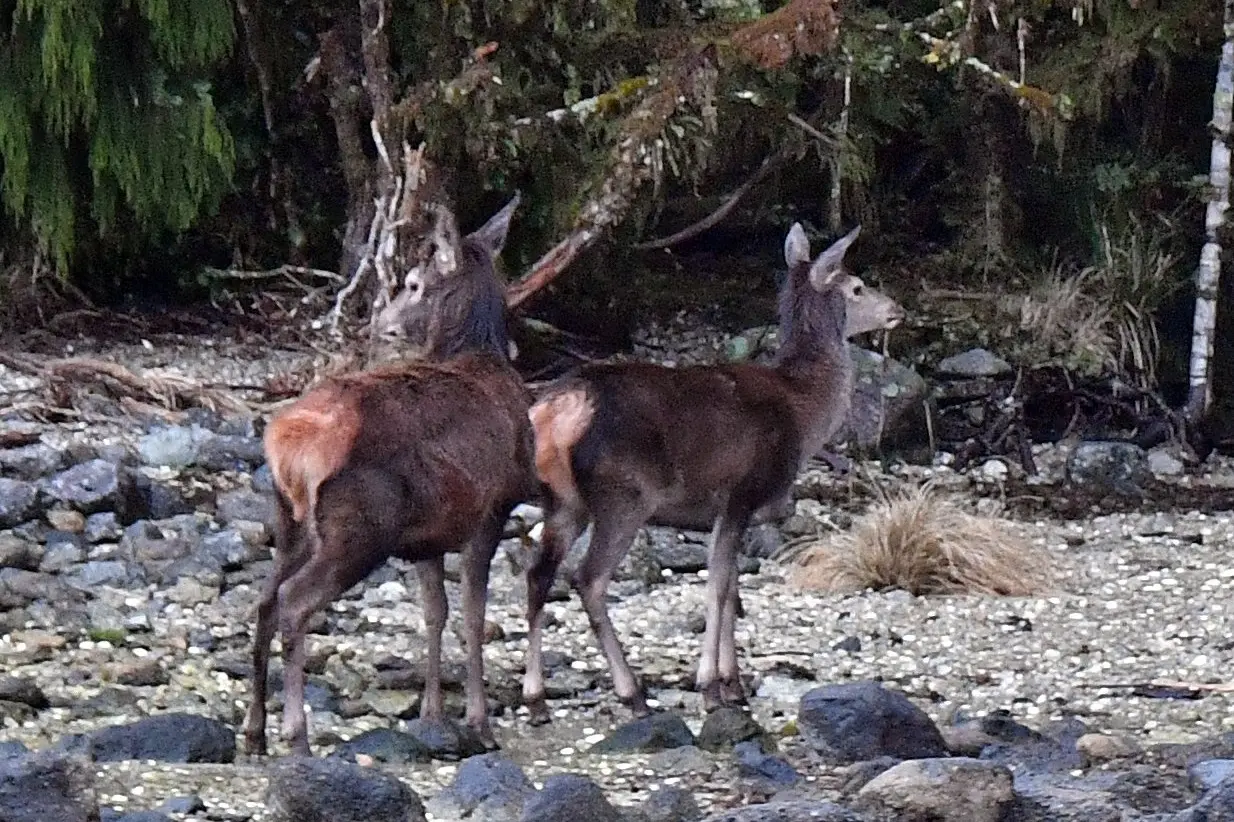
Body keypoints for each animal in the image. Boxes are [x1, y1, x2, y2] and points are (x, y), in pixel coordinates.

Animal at [243, 194, 536, 757]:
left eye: (415, 283)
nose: (381, 322)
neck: (484, 357)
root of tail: (288, 442)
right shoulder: (491, 508)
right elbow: (473, 613)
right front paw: (480, 723)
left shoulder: (431, 534)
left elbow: (435, 612)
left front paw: (432, 713)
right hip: (359, 527)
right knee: (292, 603)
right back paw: (295, 732)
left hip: (289, 521)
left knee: (265, 600)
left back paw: (253, 730)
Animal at [521, 222, 906, 724]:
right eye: (857, 287)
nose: (897, 310)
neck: (804, 411)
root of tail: (555, 410)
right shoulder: (743, 490)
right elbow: (719, 584)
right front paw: (711, 686)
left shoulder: (729, 510)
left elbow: (732, 583)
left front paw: (733, 682)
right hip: (624, 495)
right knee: (588, 580)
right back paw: (631, 692)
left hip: (562, 500)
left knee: (537, 575)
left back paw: (535, 697)